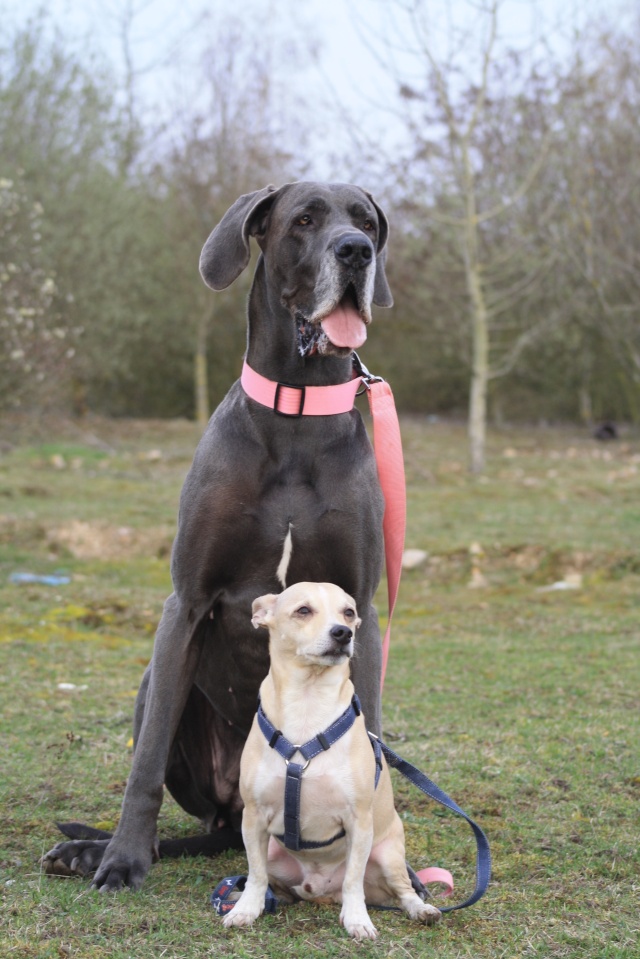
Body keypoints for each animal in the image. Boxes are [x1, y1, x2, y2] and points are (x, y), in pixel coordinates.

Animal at [222, 580, 442, 940]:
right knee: (274, 882)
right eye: (303, 610)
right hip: (275, 852)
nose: (342, 632)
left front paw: (357, 920)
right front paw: (246, 909)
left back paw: (421, 910)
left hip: (388, 855)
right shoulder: (253, 817)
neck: (308, 704)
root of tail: (320, 889)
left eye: (348, 612)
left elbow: (354, 880)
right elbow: (255, 874)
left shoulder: (359, 822)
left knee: (403, 890)